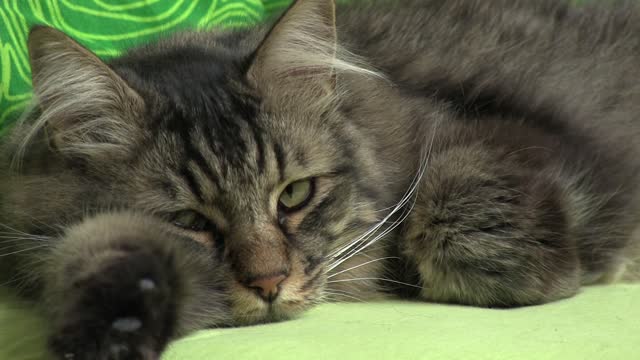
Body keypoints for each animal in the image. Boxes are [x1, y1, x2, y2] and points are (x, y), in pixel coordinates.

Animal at [1, 0, 640, 358]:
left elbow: (454, 212)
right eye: (188, 221)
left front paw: (566, 270)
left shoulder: (513, 137)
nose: (269, 283)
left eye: (295, 194)